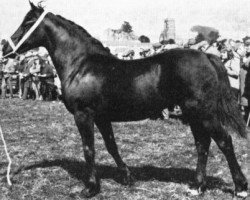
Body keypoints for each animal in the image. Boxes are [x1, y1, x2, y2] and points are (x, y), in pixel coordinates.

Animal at [2, 2, 248, 198]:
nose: (6, 47)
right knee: (202, 144)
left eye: (28, 22)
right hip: (193, 114)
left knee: (224, 142)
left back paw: (240, 187)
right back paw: (197, 186)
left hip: (203, 113)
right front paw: (127, 177)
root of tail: (206, 55)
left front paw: (90, 188)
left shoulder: (84, 115)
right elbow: (111, 146)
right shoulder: (102, 117)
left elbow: (89, 149)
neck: (81, 65)